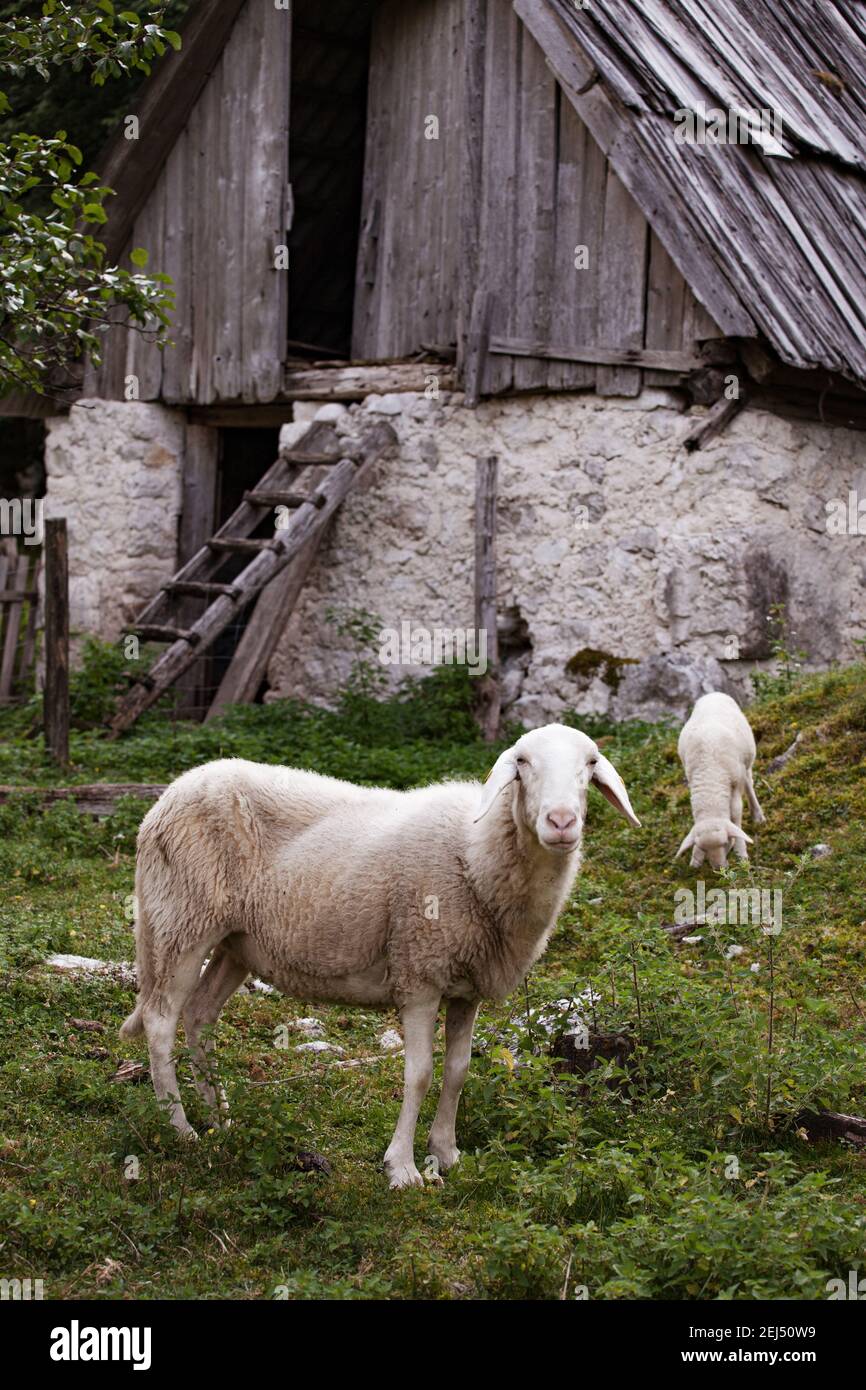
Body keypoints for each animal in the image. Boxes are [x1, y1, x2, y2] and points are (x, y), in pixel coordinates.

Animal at [118, 722, 639, 1189]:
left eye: (590, 763)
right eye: (523, 763)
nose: (561, 822)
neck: (474, 853)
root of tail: (171, 793)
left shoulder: (467, 987)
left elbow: (458, 1071)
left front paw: (446, 1153)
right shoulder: (419, 973)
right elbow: (420, 1074)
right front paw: (402, 1169)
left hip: (236, 941)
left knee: (200, 1015)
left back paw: (221, 1120)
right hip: (180, 920)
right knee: (161, 1021)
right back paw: (180, 1129)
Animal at [678, 692, 767, 867]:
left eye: (724, 843)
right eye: (704, 849)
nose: (720, 869)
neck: (710, 773)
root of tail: (713, 693)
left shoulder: (735, 783)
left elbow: (736, 814)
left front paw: (741, 852)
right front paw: (696, 857)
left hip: (746, 763)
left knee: (749, 784)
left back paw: (757, 815)